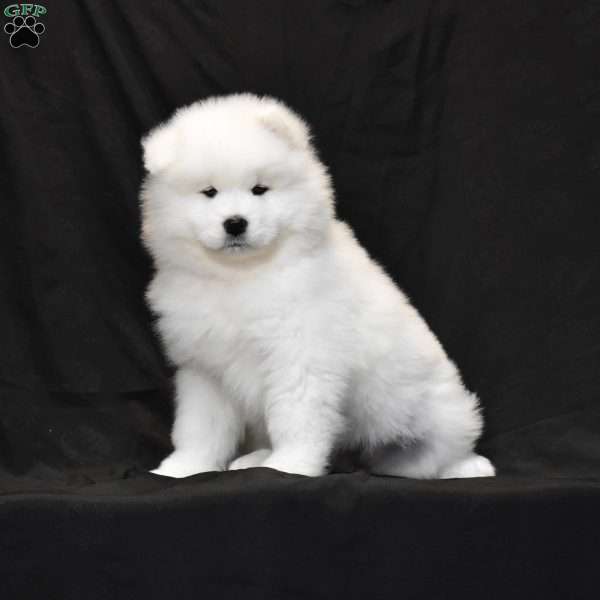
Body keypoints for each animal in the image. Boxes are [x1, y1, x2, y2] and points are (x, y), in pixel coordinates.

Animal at [139, 94, 492, 478]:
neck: (241, 276)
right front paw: (183, 468)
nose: (235, 223)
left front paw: (289, 467)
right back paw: (255, 459)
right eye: (209, 192)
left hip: (429, 415)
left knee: (441, 454)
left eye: (259, 190)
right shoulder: (205, 370)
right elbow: (200, 428)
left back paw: (468, 466)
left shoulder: (301, 356)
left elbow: (296, 420)